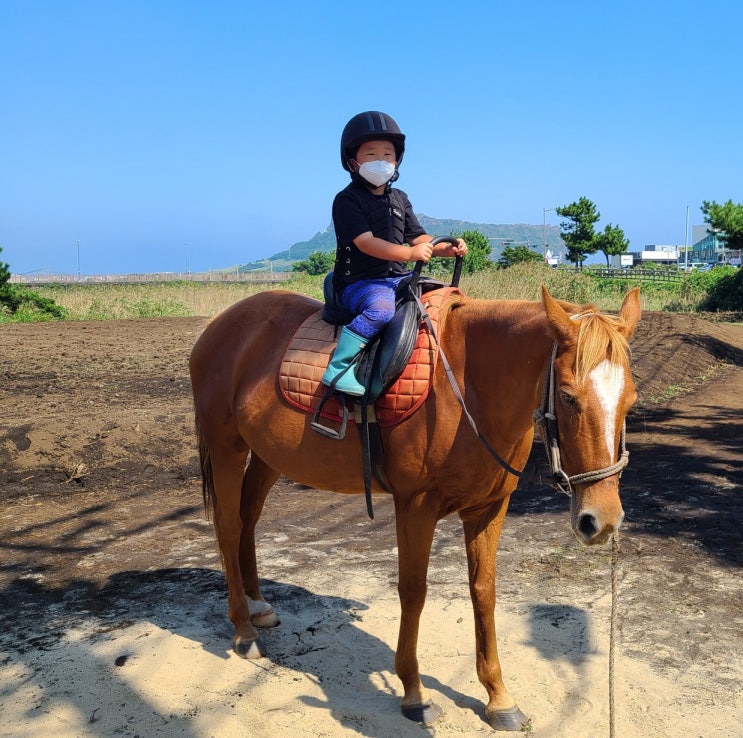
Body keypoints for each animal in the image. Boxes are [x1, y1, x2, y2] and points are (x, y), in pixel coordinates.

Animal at [189, 284, 644, 728]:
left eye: (631, 400)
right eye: (567, 397)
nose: (602, 521)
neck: (469, 385)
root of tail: (220, 326)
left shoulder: (489, 509)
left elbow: (484, 591)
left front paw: (498, 697)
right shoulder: (416, 507)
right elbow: (413, 591)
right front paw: (413, 691)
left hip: (267, 456)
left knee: (248, 518)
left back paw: (258, 606)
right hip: (227, 447)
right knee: (229, 526)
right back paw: (244, 630)